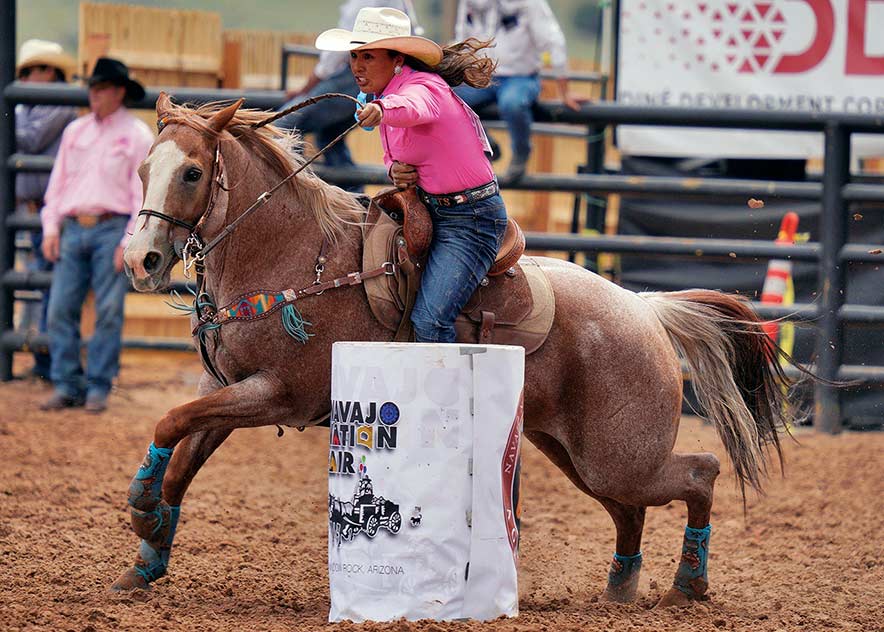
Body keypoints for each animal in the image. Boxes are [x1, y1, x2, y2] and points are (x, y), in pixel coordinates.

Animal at [114, 94, 796, 608]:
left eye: (192, 172)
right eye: (145, 168)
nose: (141, 260)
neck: (296, 257)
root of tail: (647, 308)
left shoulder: (276, 394)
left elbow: (170, 423)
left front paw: (142, 508)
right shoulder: (223, 388)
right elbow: (182, 455)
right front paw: (147, 552)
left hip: (618, 454)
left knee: (699, 473)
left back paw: (689, 583)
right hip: (574, 450)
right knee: (630, 513)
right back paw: (622, 586)